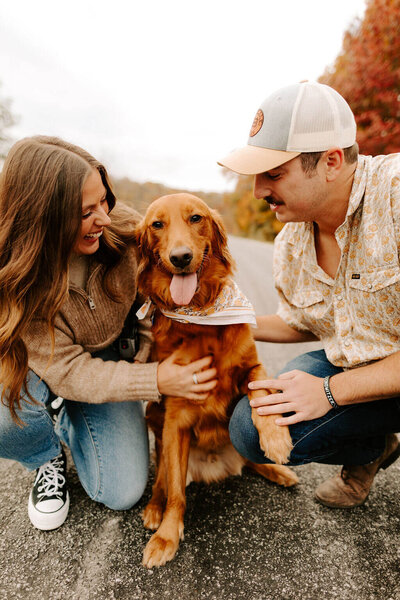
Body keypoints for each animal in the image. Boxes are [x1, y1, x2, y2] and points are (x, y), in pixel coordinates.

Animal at [136, 193, 298, 568]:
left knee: (250, 459)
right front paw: (166, 537)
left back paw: (279, 472)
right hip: (157, 423)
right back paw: (153, 509)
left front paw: (276, 440)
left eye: (195, 218)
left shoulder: (252, 366)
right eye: (157, 224)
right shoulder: (176, 414)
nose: (181, 257)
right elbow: (176, 495)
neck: (201, 317)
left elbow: (261, 393)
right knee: (163, 482)